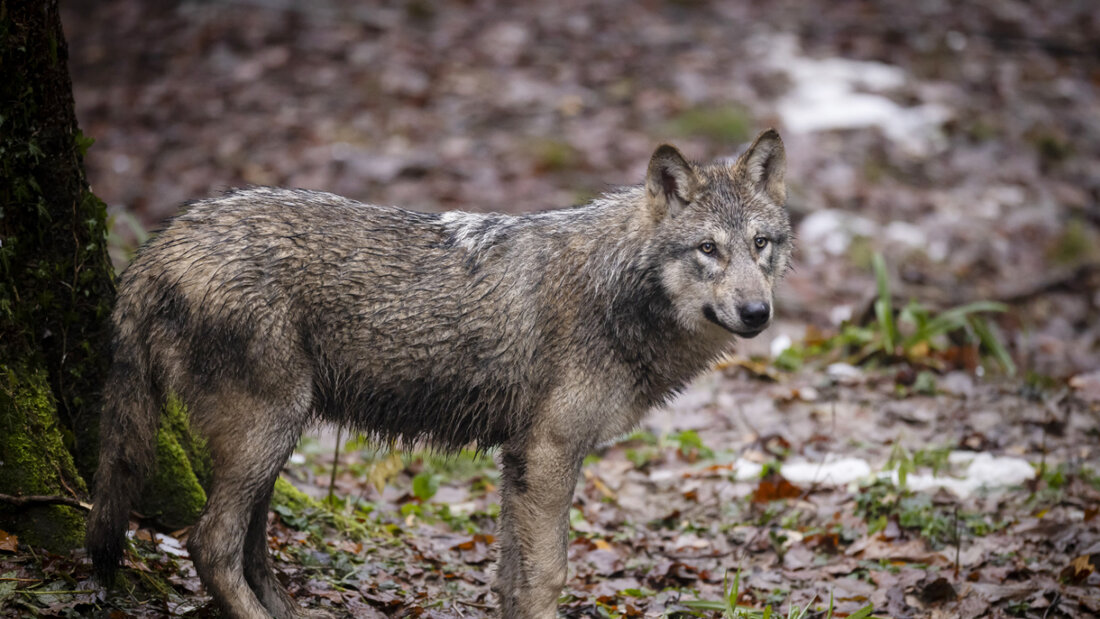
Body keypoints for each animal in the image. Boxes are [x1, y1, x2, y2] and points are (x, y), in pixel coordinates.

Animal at [86, 130, 792, 618]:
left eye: (760, 244)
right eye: (708, 249)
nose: (758, 313)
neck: (616, 291)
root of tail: (157, 246)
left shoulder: (519, 460)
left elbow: (510, 578)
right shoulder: (550, 454)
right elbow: (547, 576)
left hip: (271, 443)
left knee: (250, 546)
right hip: (266, 434)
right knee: (209, 543)